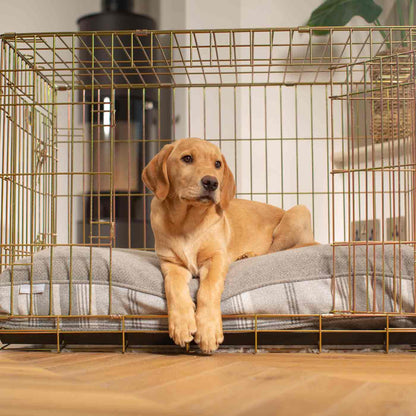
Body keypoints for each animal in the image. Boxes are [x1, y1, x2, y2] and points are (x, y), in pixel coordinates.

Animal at [141, 138, 316, 352]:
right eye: (187, 158)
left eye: (217, 164)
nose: (211, 182)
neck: (188, 221)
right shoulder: (171, 263)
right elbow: (172, 286)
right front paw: (182, 325)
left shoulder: (216, 258)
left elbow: (208, 289)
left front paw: (208, 331)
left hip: (298, 212)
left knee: (276, 251)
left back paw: (248, 255)